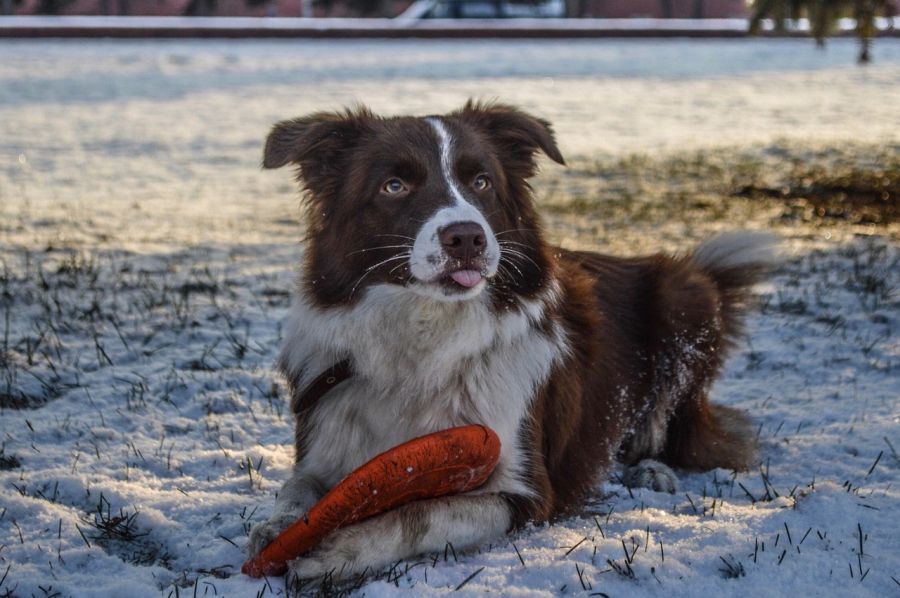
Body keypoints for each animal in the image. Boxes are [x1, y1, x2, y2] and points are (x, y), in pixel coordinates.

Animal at [248, 102, 780, 580]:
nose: (466, 237)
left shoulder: (526, 490)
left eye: (482, 181)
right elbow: (295, 491)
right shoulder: (323, 443)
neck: (425, 339)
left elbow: (419, 514)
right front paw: (278, 529)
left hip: (684, 297)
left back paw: (651, 470)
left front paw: (341, 550)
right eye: (394, 185)